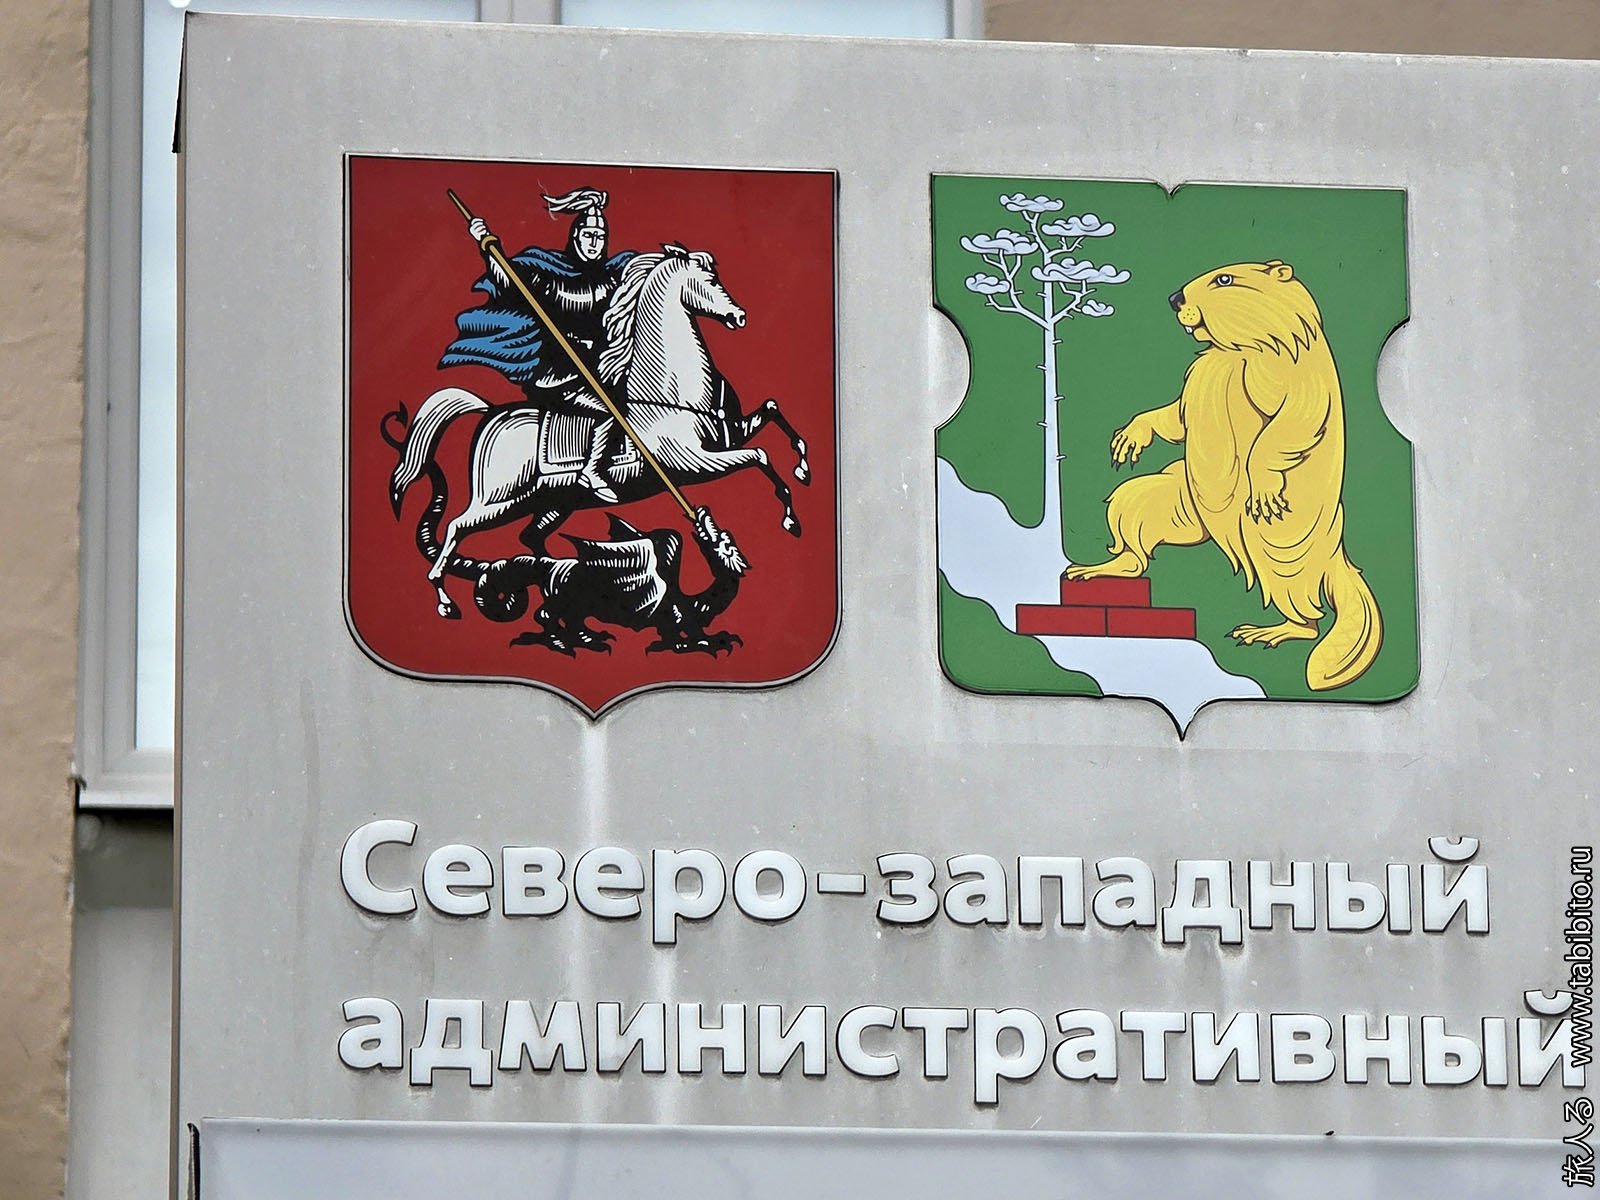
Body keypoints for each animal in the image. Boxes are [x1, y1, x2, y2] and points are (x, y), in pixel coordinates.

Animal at [385, 244, 810, 619]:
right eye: (706, 279)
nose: (739, 316)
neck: (669, 390)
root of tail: (492, 413)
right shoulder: (690, 463)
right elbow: (760, 457)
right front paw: (791, 517)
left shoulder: (731, 434)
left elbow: (773, 415)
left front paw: (803, 470)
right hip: (499, 500)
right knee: (457, 527)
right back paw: (445, 600)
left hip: (553, 502)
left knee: (529, 536)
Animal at [1065, 260, 1381, 691]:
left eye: (1224, 279)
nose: (1174, 298)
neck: (1243, 350)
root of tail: (1337, 553)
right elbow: (1177, 416)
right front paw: (1134, 433)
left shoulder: (1293, 374)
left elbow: (1289, 425)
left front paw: (1263, 481)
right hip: (1173, 505)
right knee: (1134, 530)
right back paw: (1101, 568)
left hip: (1279, 547)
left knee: (1304, 613)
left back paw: (1275, 630)